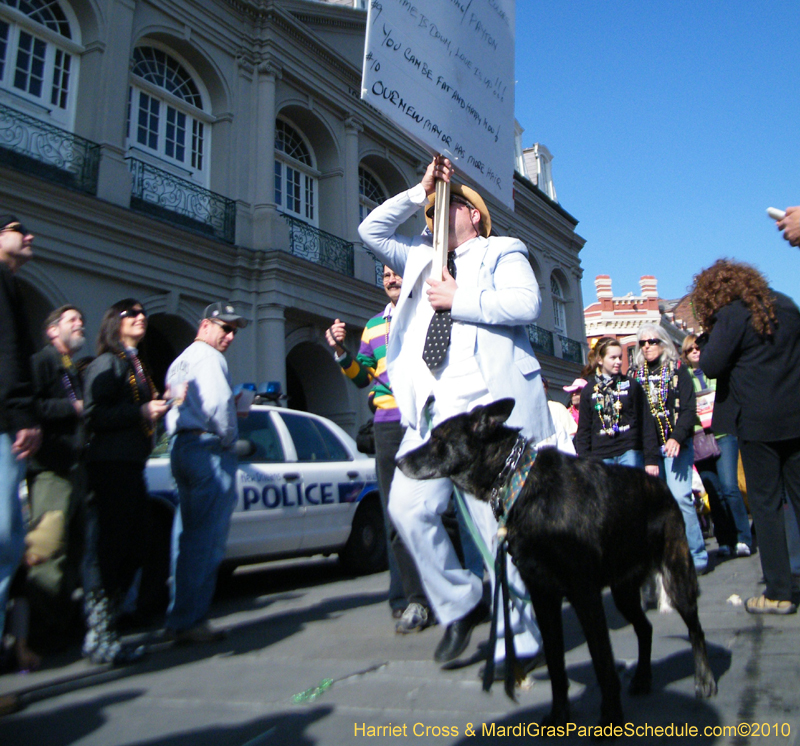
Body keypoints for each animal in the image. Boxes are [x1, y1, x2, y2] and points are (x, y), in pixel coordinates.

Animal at [396, 398, 716, 724]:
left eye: (437, 439)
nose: (398, 461)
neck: (518, 480)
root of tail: (660, 486)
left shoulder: (584, 596)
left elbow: (603, 663)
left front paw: (611, 717)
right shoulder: (543, 596)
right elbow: (555, 662)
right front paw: (559, 714)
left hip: (677, 578)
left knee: (695, 629)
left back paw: (704, 679)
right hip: (623, 592)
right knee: (645, 629)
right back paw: (641, 677)